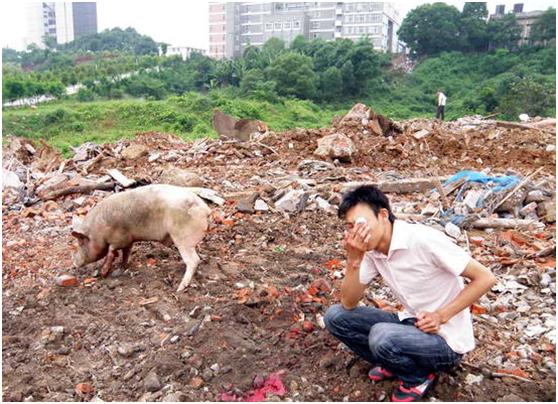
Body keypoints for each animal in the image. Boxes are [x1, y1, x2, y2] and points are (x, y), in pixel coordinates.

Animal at [70, 185, 210, 292]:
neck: (98, 231)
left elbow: (111, 251)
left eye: (80, 242)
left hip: (183, 239)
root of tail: (205, 209)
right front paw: (120, 269)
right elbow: (126, 253)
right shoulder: (129, 240)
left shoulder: (120, 238)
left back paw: (179, 288)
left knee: (194, 260)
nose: (74, 262)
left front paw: (103, 273)